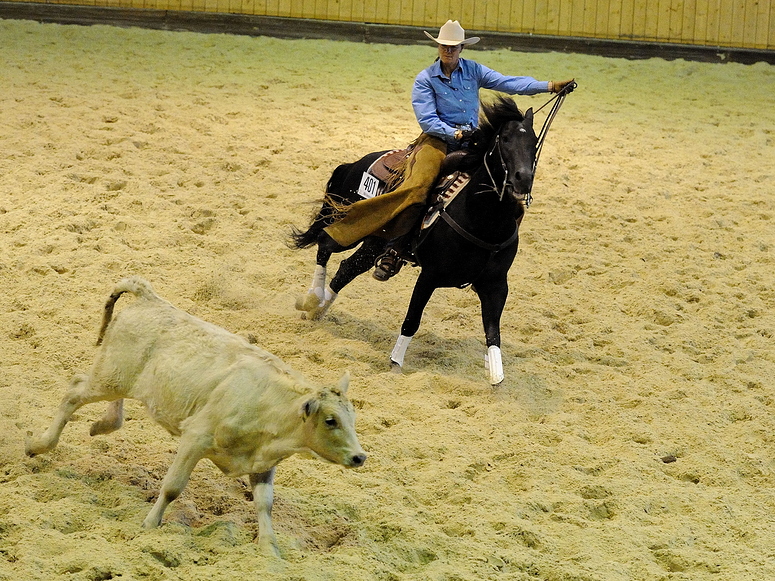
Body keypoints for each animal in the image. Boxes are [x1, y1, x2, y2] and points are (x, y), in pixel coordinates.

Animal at [292, 96, 540, 386]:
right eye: (505, 139)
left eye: (534, 141)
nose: (523, 178)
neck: (481, 217)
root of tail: (356, 162)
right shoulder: (430, 276)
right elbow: (412, 319)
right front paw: (395, 364)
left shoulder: (497, 286)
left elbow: (493, 333)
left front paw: (497, 380)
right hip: (351, 222)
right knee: (325, 243)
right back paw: (312, 298)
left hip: (375, 242)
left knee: (346, 269)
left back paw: (318, 311)